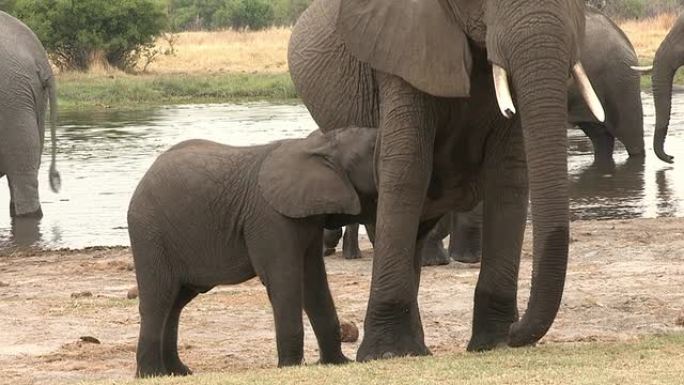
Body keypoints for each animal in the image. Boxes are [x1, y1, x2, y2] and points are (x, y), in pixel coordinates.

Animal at [128, 125, 374, 376]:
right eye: (373, 152)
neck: (320, 144)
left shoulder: (307, 219)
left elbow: (313, 279)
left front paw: (339, 362)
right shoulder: (271, 218)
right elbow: (284, 279)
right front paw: (289, 367)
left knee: (176, 301)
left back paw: (178, 372)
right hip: (150, 233)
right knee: (159, 298)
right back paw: (152, 374)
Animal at [288, 0, 604, 358]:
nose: (516, 331)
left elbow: (508, 174)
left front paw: (494, 344)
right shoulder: (401, 52)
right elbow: (407, 167)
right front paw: (386, 353)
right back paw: (409, 348)